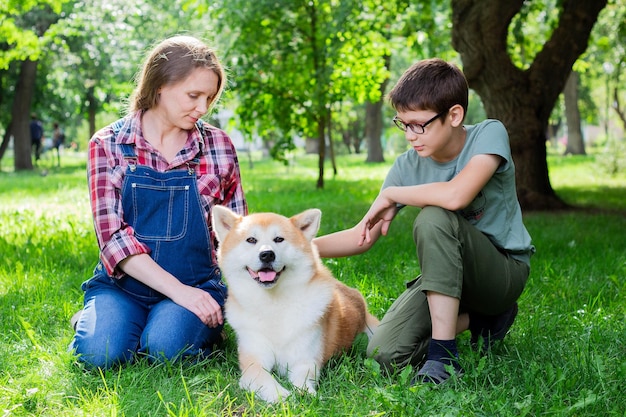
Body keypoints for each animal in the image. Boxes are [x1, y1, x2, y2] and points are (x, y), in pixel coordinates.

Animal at [210, 206, 378, 402]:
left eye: (279, 239)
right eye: (251, 240)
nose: (267, 254)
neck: (273, 304)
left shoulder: (305, 359)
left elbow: (303, 379)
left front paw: (307, 394)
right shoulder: (254, 361)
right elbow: (265, 380)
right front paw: (282, 396)